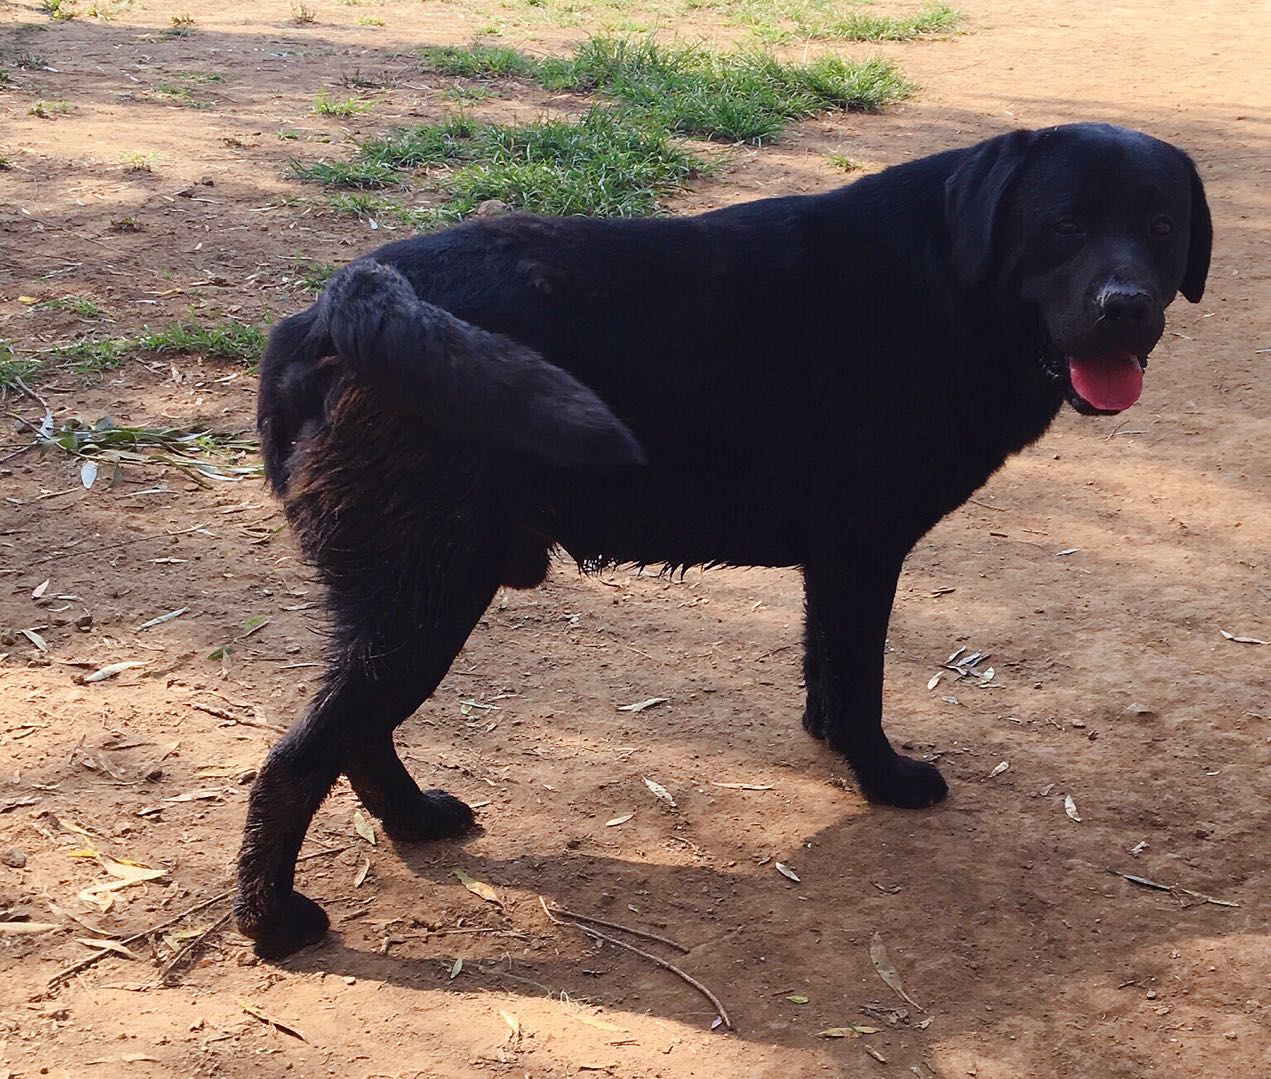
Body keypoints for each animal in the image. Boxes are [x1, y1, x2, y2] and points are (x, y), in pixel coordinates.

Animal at [236, 122, 1209, 955]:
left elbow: (828, 671)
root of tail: (335, 306)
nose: (1124, 307)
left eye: (1160, 227)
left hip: (402, 602)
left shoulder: (835, 557)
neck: (948, 279)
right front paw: (882, 777)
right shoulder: (863, 547)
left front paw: (828, 740)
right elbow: (862, 685)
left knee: (356, 735)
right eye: (1062, 226)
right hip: (425, 599)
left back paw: (412, 821)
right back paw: (273, 921)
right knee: (298, 759)